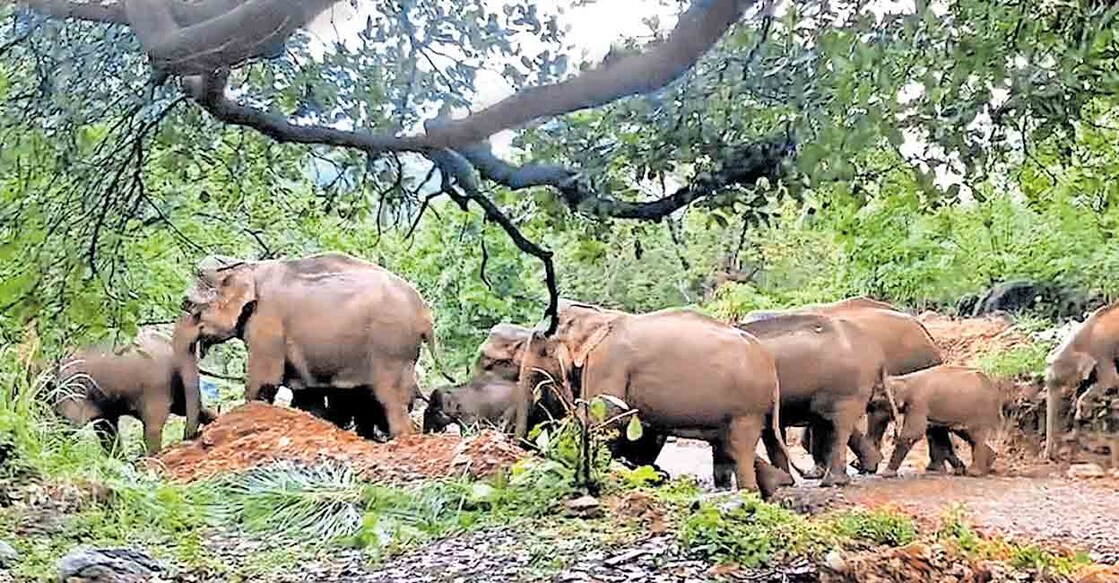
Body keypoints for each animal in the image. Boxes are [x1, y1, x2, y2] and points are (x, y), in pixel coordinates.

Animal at [170, 249, 440, 436]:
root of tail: (425, 314)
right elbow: (307, 395)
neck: (248, 267)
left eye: (187, 304)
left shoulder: (268, 321)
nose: (192, 435)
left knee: (391, 399)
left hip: (391, 347)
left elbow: (263, 382)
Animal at [512, 302, 792, 496]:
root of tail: (770, 368)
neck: (599, 316)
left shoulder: (608, 362)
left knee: (739, 449)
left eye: (541, 347)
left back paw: (751, 494)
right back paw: (779, 486)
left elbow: (606, 420)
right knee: (754, 444)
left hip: (746, 408)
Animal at [738, 311, 886, 483]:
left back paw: (835, 479)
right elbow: (772, 434)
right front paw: (786, 482)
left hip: (846, 387)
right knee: (828, 421)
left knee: (839, 426)